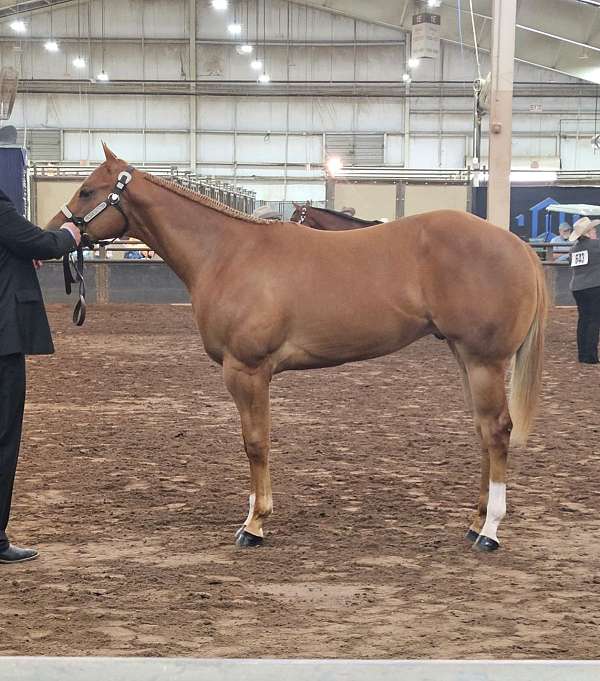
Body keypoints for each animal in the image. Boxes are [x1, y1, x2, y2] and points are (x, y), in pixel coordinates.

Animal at [47, 145, 547, 552]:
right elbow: (257, 440)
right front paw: (254, 510)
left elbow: (255, 443)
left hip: (483, 361)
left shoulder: (246, 370)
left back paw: (489, 532)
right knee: (483, 433)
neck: (226, 253)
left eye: (88, 191)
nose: (56, 232)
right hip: (465, 359)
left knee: (497, 431)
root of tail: (516, 246)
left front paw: (254, 524)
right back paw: (475, 521)